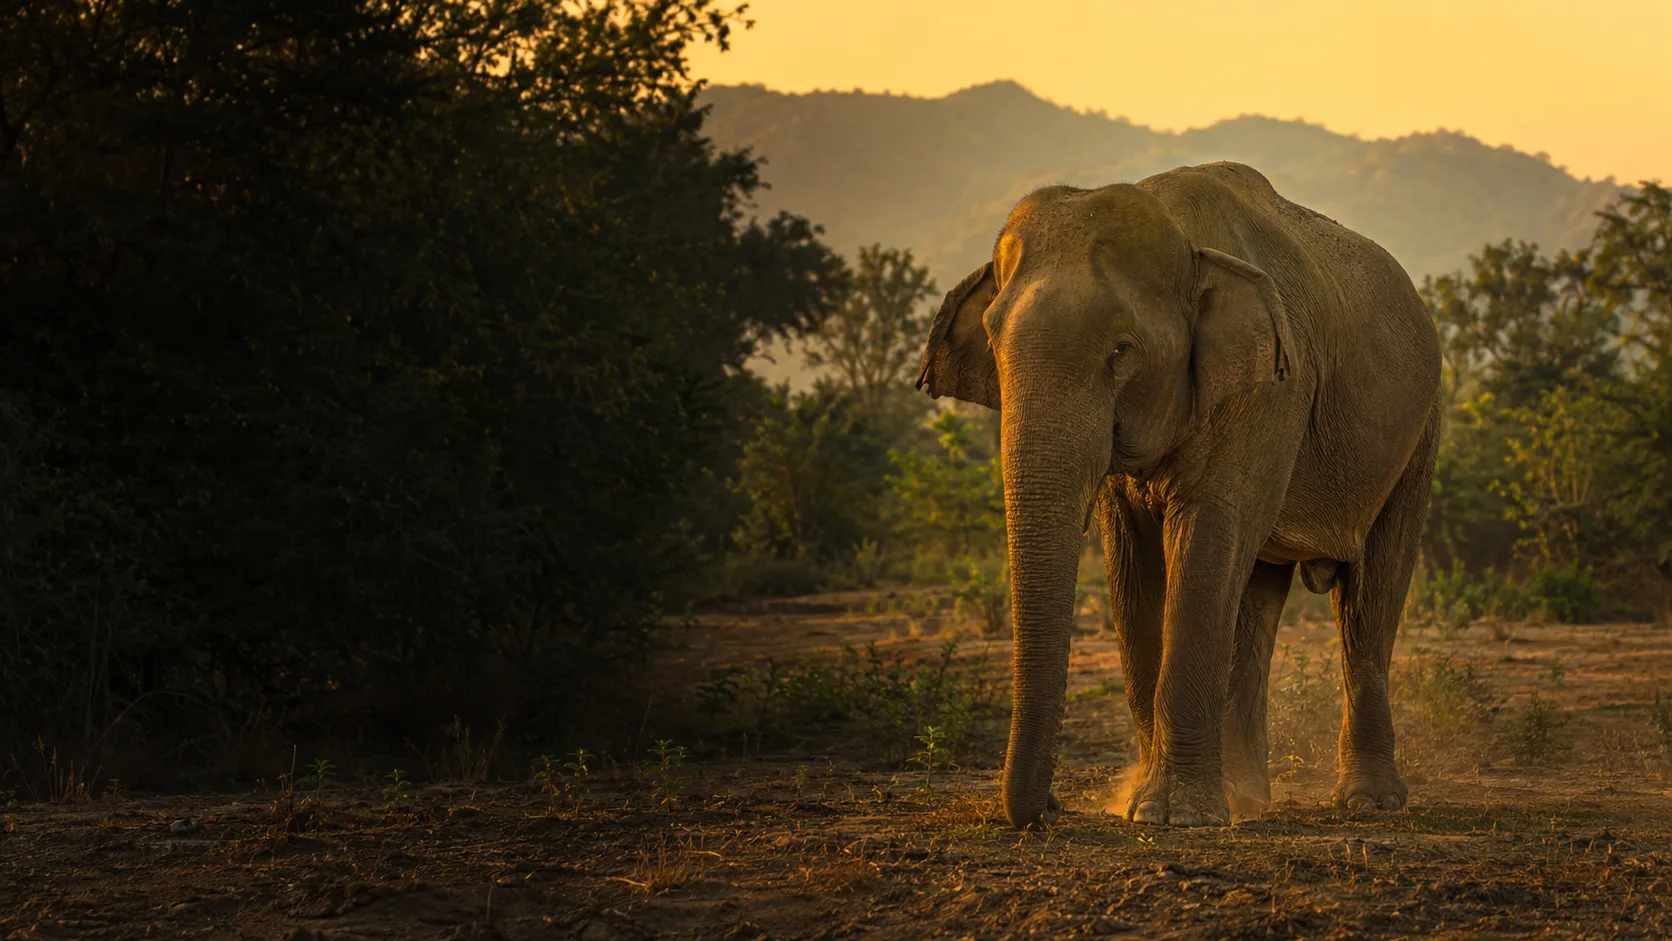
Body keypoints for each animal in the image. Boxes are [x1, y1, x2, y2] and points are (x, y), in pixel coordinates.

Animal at [915, 162, 1441, 829]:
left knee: (1369, 596)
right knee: (1256, 594)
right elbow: (1133, 563)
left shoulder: (1273, 387)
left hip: (1419, 433)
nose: (1053, 809)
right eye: (992, 344)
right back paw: (1246, 799)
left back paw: (1367, 801)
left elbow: (1208, 533)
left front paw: (1174, 815)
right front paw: (1144, 806)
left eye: (1121, 352)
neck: (1180, 231)